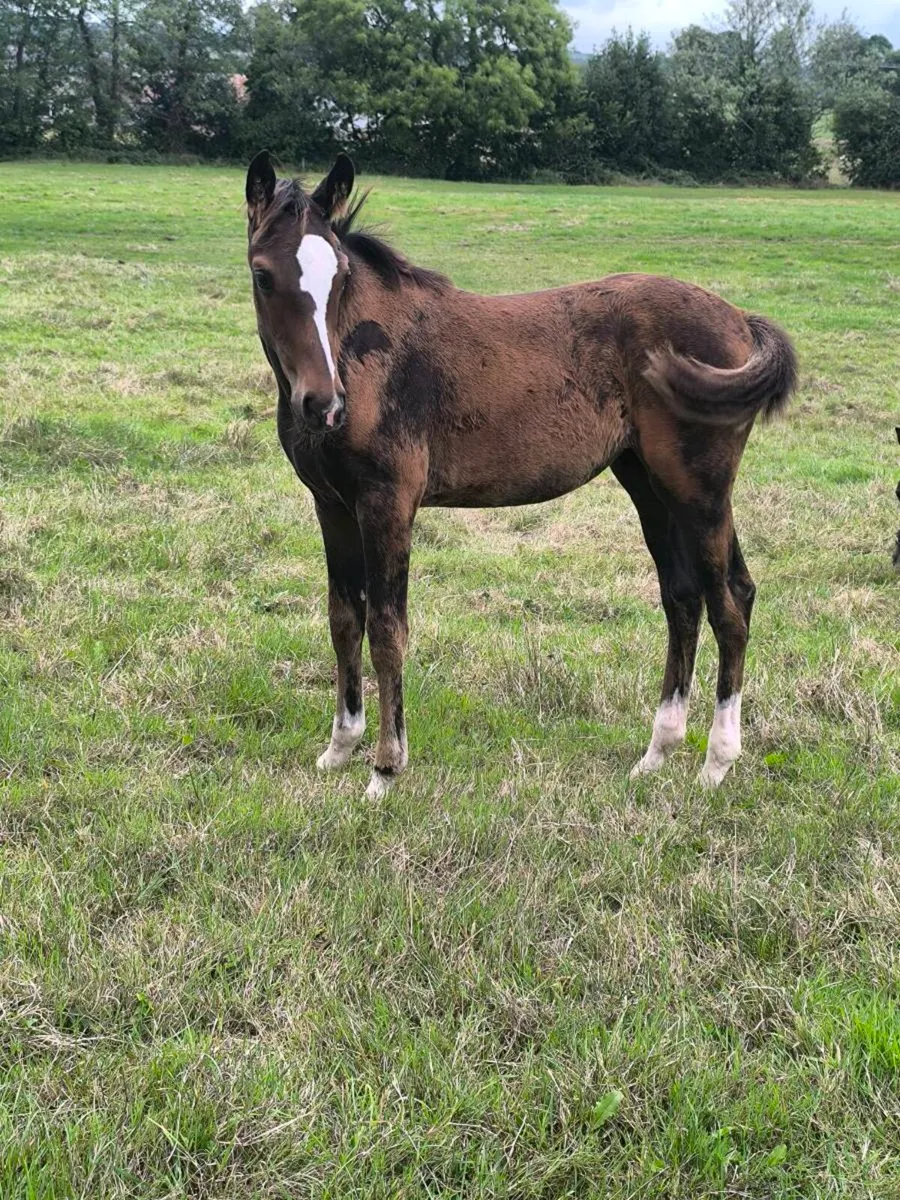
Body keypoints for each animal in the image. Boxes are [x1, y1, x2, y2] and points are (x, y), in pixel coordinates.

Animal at [245, 151, 798, 800]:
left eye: (340, 276)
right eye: (263, 275)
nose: (322, 404)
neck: (364, 356)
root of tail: (738, 319)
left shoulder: (387, 502)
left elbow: (386, 628)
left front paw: (384, 770)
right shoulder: (331, 505)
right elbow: (343, 618)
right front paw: (339, 748)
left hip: (698, 489)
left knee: (729, 602)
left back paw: (716, 763)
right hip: (649, 485)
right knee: (685, 598)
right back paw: (656, 754)